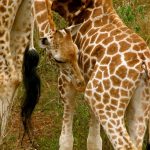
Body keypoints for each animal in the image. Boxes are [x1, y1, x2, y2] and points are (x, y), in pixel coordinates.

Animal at [51, 0, 150, 149]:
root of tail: (143, 63)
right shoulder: (88, 76)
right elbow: (94, 138)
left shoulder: (67, 77)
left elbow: (66, 136)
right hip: (140, 107)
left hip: (101, 101)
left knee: (125, 144)